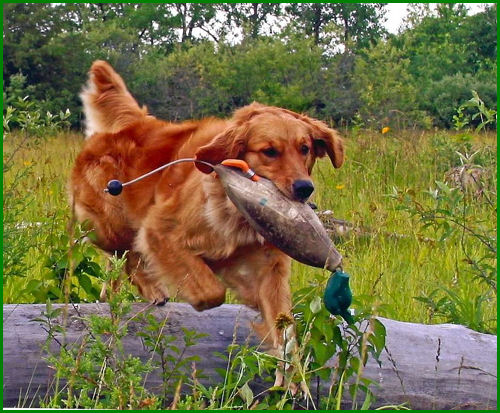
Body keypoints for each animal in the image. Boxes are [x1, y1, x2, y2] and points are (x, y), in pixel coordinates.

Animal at [70, 58, 344, 364]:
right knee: (124, 252)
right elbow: (212, 291)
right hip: (110, 226)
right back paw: (150, 287)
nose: (304, 188)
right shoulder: (160, 229)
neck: (236, 209)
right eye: (269, 151)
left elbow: (284, 330)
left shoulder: (270, 269)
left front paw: (290, 372)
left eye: (304, 148)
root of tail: (134, 123)